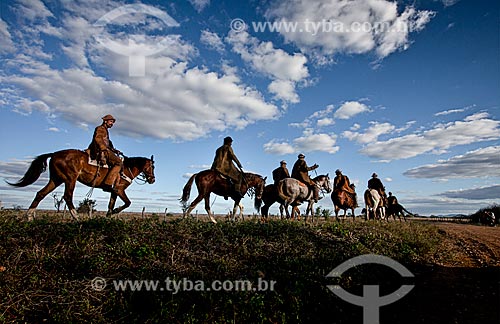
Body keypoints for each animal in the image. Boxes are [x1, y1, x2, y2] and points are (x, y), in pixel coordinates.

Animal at [7, 149, 155, 220]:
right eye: (152, 167)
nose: (152, 180)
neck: (127, 168)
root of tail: (54, 154)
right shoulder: (119, 189)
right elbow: (127, 203)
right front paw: (115, 211)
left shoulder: (114, 192)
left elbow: (110, 206)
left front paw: (108, 217)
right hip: (70, 179)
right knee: (67, 197)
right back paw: (76, 218)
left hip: (56, 179)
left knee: (40, 193)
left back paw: (29, 217)